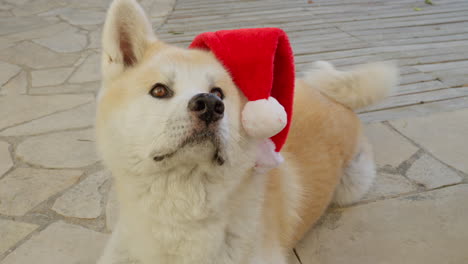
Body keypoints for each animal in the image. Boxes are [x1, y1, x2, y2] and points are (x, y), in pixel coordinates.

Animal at [96, 1, 398, 262]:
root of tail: (333, 99)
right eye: (159, 90)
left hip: (352, 186)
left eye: (219, 93)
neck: (181, 213)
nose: (210, 105)